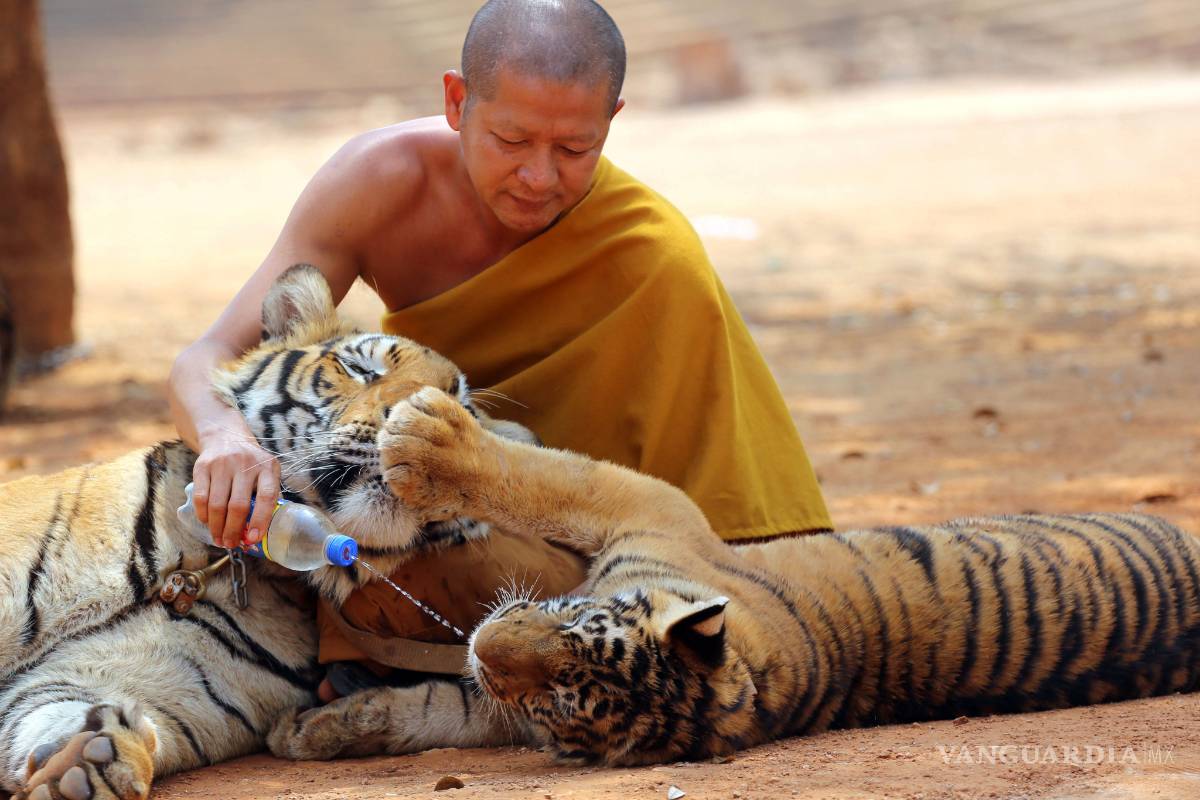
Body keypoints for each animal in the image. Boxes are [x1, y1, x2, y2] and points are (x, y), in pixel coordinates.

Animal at [0, 264, 537, 800]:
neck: (215, 563)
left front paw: (86, 763)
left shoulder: (145, 681)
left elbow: (59, 709)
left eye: (462, 409)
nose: (414, 424)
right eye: (362, 369)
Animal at [268, 384, 1200, 766]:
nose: (487, 644)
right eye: (568, 633)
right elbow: (427, 708)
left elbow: (541, 476)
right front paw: (314, 733)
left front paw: (427, 437)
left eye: (560, 698)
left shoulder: (645, 504)